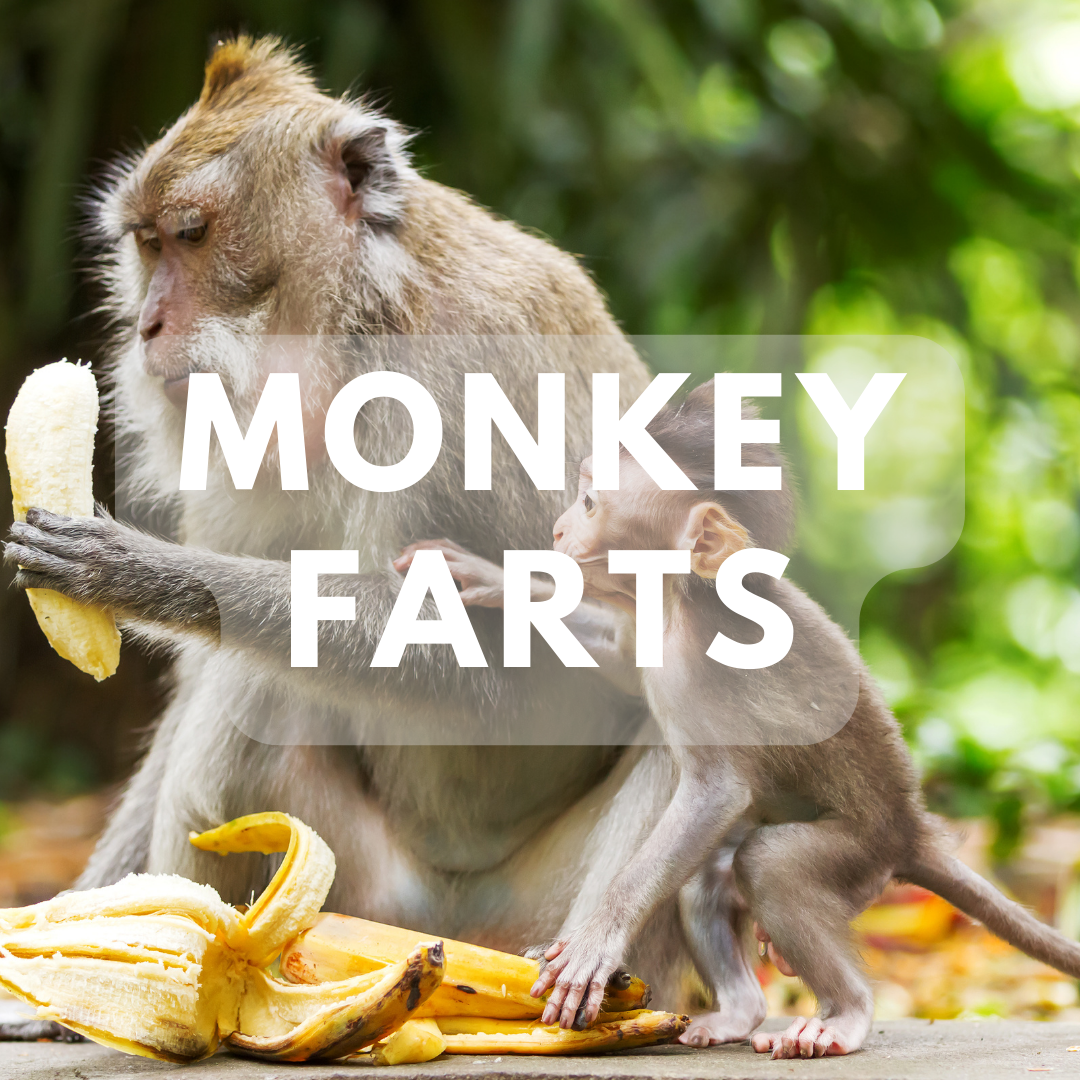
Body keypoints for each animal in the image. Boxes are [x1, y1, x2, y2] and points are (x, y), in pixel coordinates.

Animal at [1, 35, 769, 1047]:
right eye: (146, 243)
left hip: (542, 922)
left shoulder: (470, 379)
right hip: (365, 901)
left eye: (193, 235)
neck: (357, 330)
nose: (146, 325)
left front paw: (144, 576)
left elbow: (510, 670)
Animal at [400, 380, 1080, 1059]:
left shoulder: (704, 670)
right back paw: (738, 1011)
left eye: (590, 501)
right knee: (704, 879)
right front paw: (488, 578)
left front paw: (597, 938)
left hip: (857, 851)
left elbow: (717, 792)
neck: (680, 598)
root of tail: (912, 828)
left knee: (770, 866)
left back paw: (844, 1016)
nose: (560, 526)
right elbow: (623, 660)